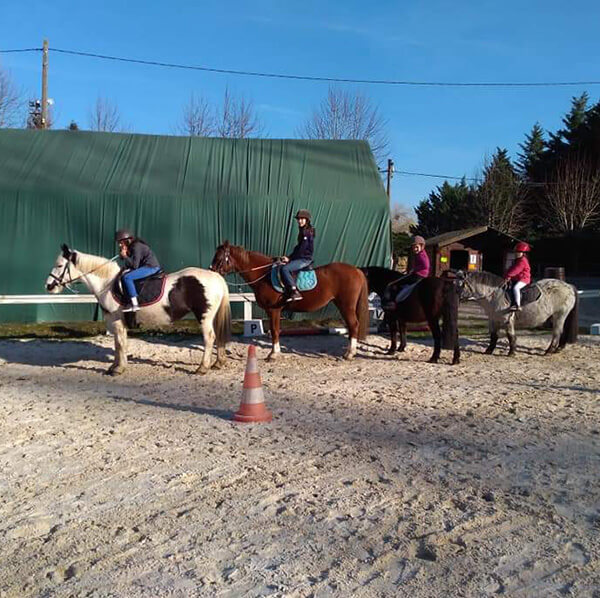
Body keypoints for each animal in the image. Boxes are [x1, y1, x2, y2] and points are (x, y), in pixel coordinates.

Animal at [44, 244, 231, 376]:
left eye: (59, 265)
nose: (49, 286)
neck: (108, 284)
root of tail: (215, 276)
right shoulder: (116, 323)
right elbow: (118, 344)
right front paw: (114, 366)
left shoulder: (117, 321)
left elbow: (120, 344)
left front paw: (118, 369)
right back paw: (218, 362)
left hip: (204, 316)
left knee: (209, 338)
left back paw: (202, 368)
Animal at [211, 243, 370, 360]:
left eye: (219, 257)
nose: (211, 271)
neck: (264, 275)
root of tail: (356, 270)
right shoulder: (272, 311)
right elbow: (275, 330)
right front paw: (275, 352)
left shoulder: (274, 310)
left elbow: (275, 331)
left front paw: (273, 354)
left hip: (346, 306)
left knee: (354, 325)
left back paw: (349, 354)